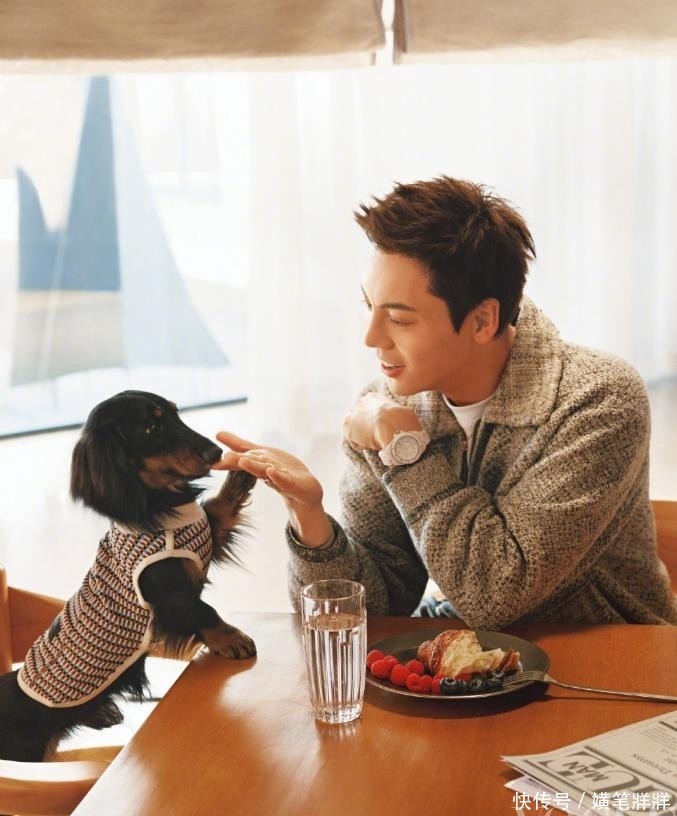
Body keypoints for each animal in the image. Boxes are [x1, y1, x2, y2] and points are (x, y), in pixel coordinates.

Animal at [0, 390, 256, 762]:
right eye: (151, 428)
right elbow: (205, 611)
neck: (159, 511)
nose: (215, 453)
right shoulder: (172, 596)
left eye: (176, 413)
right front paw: (232, 638)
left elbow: (219, 509)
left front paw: (240, 476)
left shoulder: (205, 539)